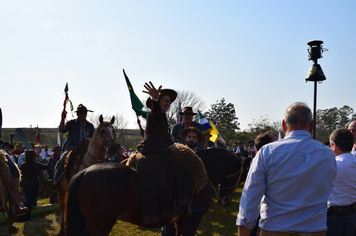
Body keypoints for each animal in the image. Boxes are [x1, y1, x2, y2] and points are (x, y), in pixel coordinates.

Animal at [66, 148, 245, 235]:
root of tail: (84, 172)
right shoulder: (191, 221)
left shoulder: (180, 222)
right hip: (100, 227)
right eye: (240, 173)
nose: (226, 200)